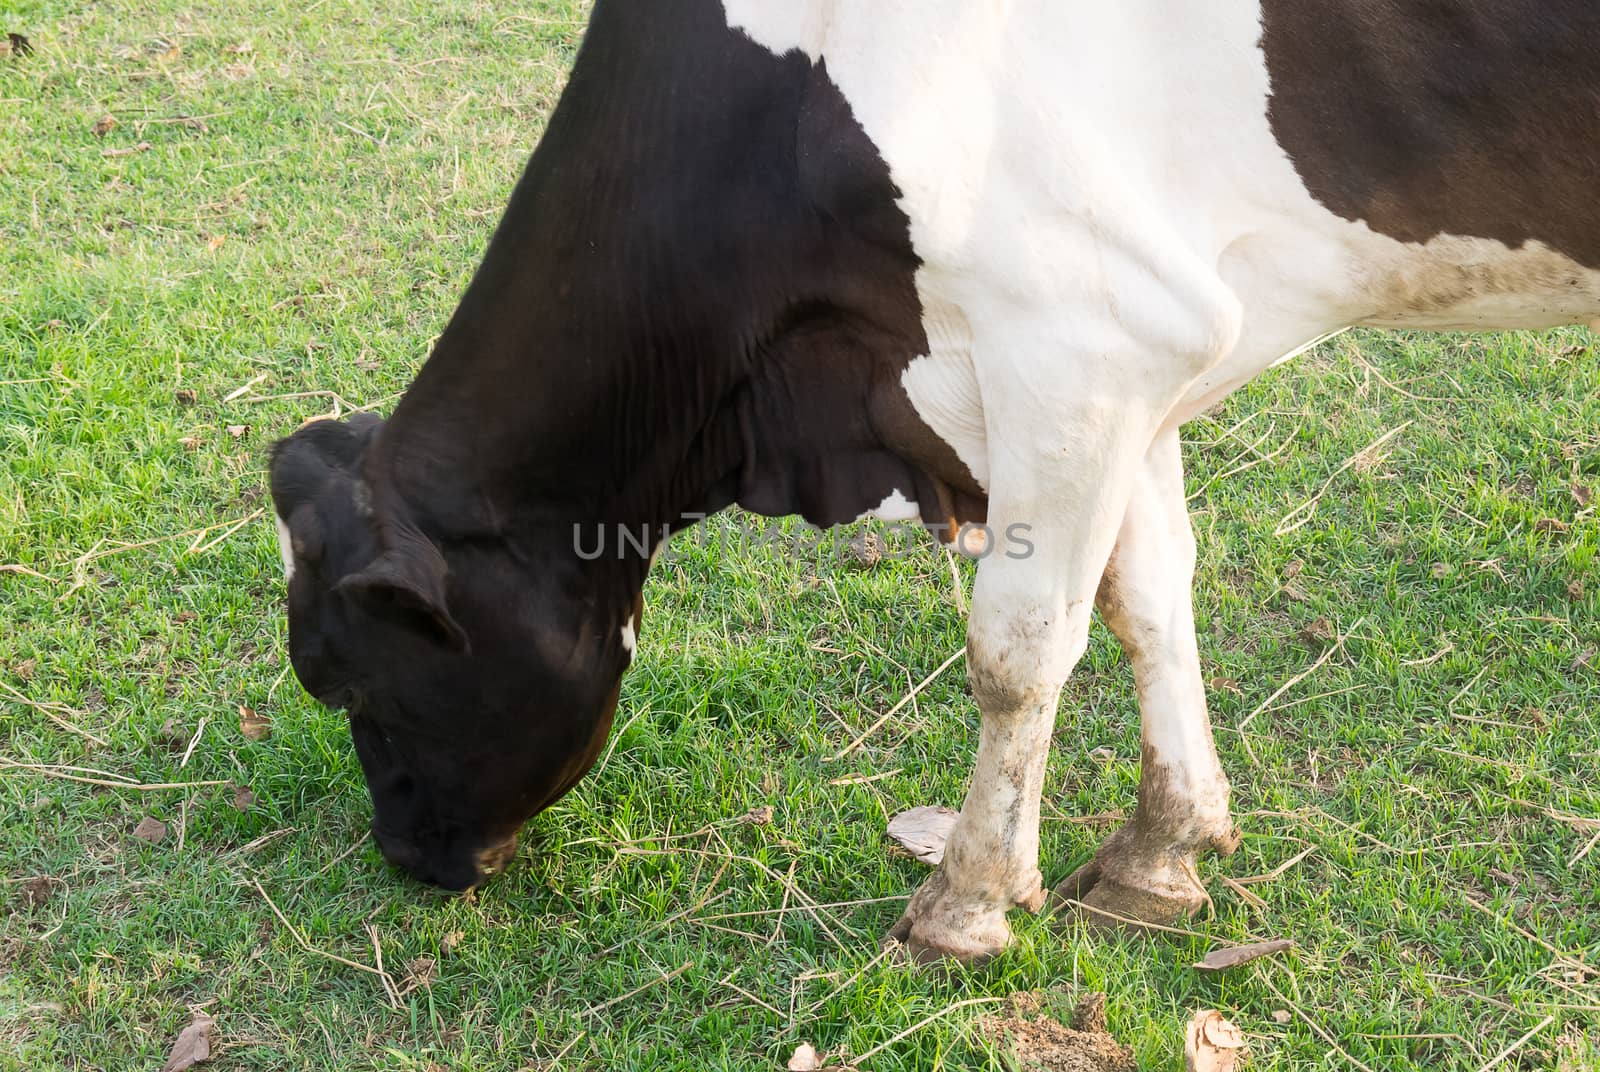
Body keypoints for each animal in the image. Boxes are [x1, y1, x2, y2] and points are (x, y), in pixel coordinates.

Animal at [272, 0, 1600, 972]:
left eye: (354, 687)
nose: (407, 853)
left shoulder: (1079, 332)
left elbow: (1017, 652)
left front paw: (967, 904)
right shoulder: (1136, 353)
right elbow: (1148, 596)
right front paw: (1161, 847)